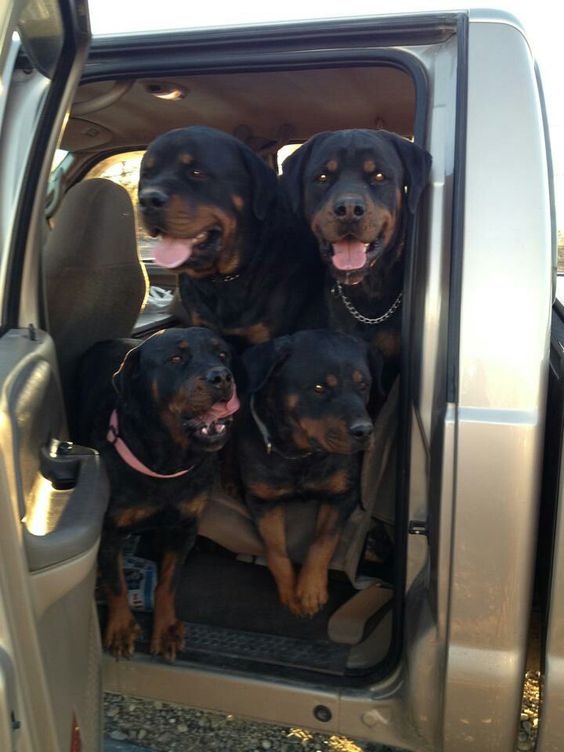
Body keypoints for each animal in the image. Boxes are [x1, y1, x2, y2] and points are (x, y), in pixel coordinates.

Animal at [75, 328, 238, 656]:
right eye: (175, 358)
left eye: (222, 354)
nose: (222, 377)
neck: (167, 460)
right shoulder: (111, 530)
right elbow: (117, 582)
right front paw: (121, 627)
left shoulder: (185, 527)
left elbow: (168, 581)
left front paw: (165, 627)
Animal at [236, 328, 382, 616]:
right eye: (319, 388)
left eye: (363, 385)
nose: (364, 431)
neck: (301, 456)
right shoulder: (262, 501)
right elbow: (275, 548)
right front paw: (290, 593)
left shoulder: (343, 495)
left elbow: (323, 541)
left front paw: (310, 589)